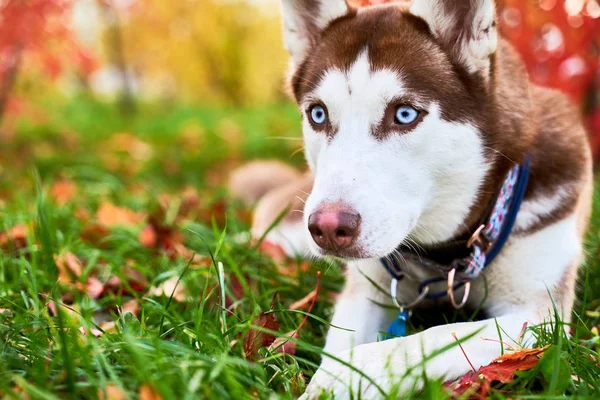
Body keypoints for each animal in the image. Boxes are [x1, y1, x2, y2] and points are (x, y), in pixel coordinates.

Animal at [232, 0, 592, 396]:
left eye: (404, 114)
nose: (327, 228)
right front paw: (335, 371)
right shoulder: (366, 288)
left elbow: (435, 336)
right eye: (318, 113)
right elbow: (343, 338)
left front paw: (347, 376)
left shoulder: (537, 315)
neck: (446, 256)